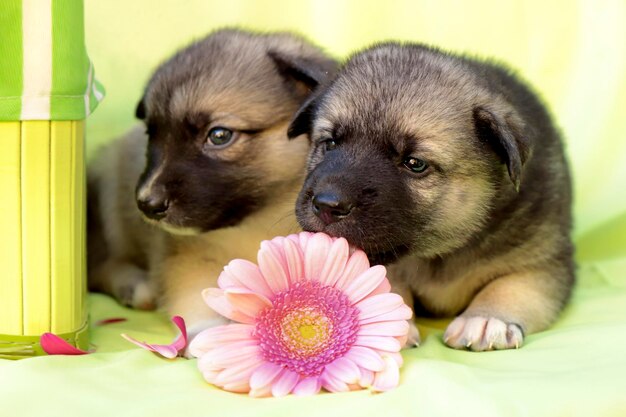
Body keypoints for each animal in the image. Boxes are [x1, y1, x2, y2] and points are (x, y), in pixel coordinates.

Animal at [88, 28, 336, 334]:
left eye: (219, 135)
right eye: (151, 134)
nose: (146, 204)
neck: (260, 219)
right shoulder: (188, 257)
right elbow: (198, 298)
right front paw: (205, 331)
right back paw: (134, 286)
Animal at [286, 42, 572, 350]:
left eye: (415, 163)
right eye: (330, 143)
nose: (327, 205)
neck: (440, 252)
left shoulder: (544, 260)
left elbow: (512, 286)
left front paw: (485, 318)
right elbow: (388, 285)